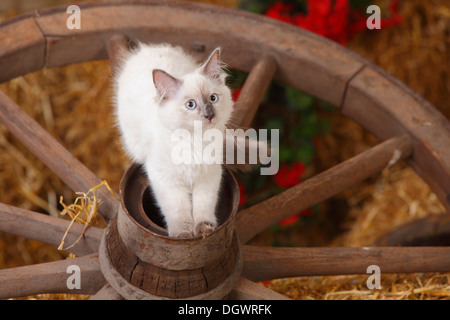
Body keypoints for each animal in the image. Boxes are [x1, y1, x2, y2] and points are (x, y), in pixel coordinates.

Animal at [114, 43, 234, 238]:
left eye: (213, 98)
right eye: (191, 105)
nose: (209, 116)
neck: (195, 141)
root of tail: (149, 48)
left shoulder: (208, 177)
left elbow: (204, 206)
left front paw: (204, 230)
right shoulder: (167, 181)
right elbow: (179, 212)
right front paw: (182, 236)